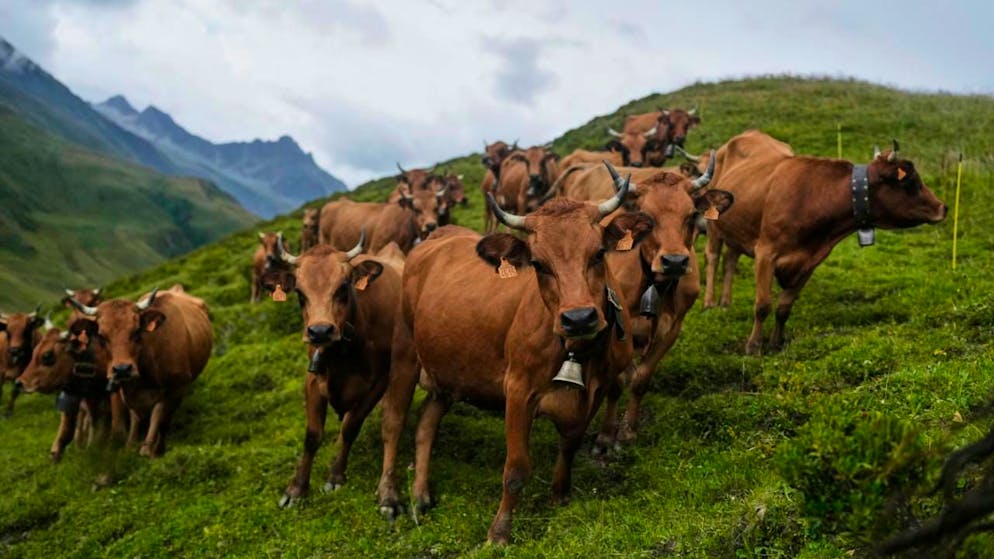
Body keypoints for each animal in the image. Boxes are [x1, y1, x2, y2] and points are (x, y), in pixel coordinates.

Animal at [66, 286, 212, 457]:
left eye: (136, 331)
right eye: (101, 336)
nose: (122, 369)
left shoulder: (176, 387)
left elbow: (160, 418)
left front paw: (152, 449)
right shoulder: (122, 389)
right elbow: (130, 418)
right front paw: (130, 445)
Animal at [261, 232, 402, 507]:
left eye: (343, 287)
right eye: (299, 293)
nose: (320, 331)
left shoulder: (377, 383)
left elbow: (350, 427)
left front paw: (336, 475)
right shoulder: (313, 381)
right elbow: (313, 435)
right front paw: (296, 489)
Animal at [376, 174, 652, 545]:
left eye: (597, 254)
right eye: (538, 264)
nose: (579, 318)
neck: (577, 353)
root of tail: (435, 236)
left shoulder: (595, 391)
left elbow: (570, 444)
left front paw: (559, 496)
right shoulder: (518, 391)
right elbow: (517, 468)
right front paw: (500, 532)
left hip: (447, 370)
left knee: (426, 424)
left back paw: (420, 494)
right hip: (405, 351)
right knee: (394, 421)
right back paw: (389, 497)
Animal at [702, 131, 947, 354]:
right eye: (911, 182)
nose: (943, 207)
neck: (812, 198)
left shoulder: (809, 262)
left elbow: (784, 308)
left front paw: (775, 343)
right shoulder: (766, 254)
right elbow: (762, 305)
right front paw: (753, 346)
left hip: (737, 231)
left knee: (730, 260)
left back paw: (726, 302)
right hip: (714, 222)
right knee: (713, 258)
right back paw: (710, 303)